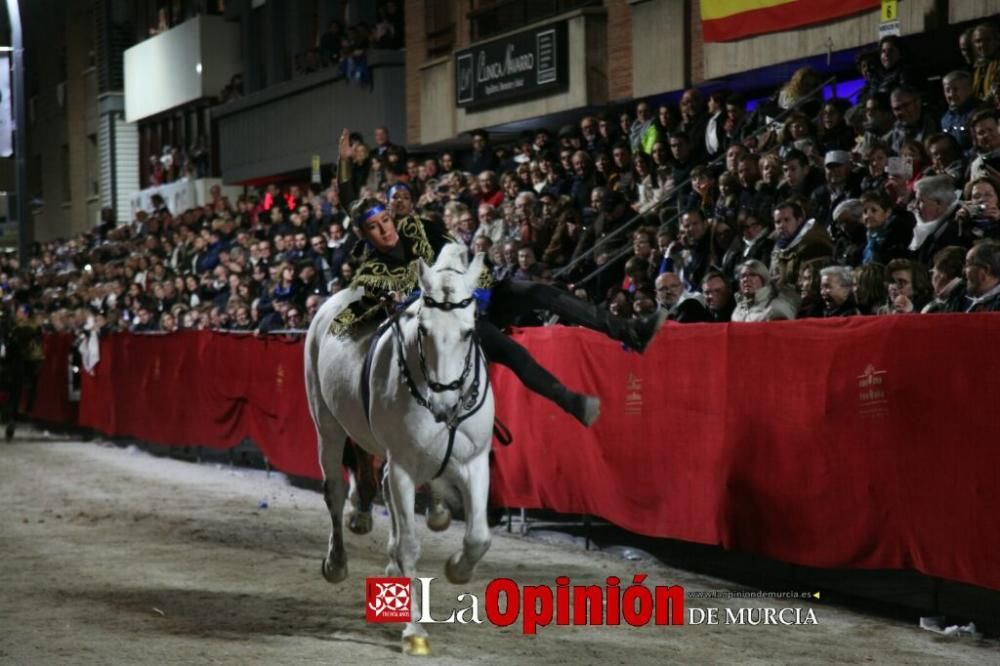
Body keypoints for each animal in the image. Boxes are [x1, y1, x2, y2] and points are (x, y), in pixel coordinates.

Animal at [302, 244, 494, 652]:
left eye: (469, 331)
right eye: (423, 329)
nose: (444, 404)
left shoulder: (475, 461)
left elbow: (478, 537)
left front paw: (456, 568)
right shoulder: (405, 465)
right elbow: (408, 544)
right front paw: (415, 631)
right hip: (325, 422)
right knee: (335, 489)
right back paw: (336, 561)